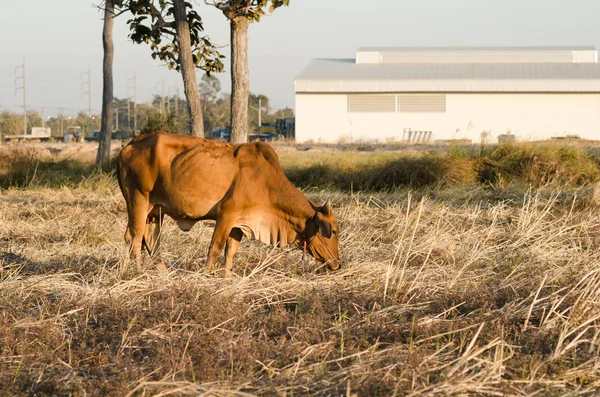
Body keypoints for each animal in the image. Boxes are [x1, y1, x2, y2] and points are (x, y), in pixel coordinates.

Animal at [115, 132, 340, 272]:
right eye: (335, 231)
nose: (338, 264)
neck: (265, 182)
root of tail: (129, 145)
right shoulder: (225, 216)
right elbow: (214, 250)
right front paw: (207, 276)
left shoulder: (239, 224)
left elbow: (230, 253)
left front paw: (226, 278)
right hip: (138, 200)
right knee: (135, 238)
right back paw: (139, 272)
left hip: (155, 211)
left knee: (151, 240)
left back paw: (163, 273)